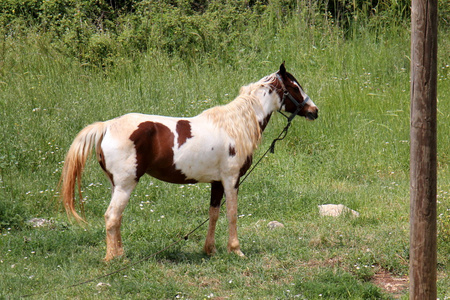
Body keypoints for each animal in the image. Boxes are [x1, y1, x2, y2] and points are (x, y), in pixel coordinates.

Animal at [59, 62, 318, 260]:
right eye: (294, 87)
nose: (314, 110)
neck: (235, 124)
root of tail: (107, 126)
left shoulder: (216, 182)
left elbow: (214, 213)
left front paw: (210, 250)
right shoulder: (231, 179)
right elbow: (232, 214)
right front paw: (236, 250)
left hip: (117, 186)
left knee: (116, 218)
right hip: (125, 185)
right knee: (112, 217)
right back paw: (114, 259)